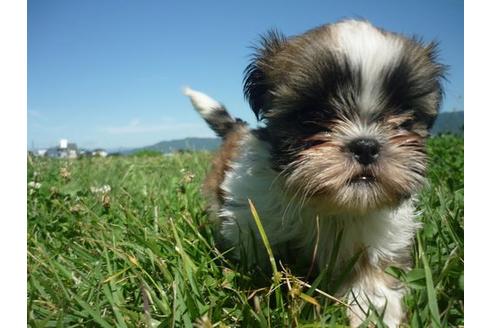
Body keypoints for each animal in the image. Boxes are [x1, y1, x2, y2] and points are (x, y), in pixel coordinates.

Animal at [184, 19, 442, 326]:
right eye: (313, 118)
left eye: (404, 119)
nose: (366, 146)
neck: (328, 206)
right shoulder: (254, 220)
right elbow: (260, 263)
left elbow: (374, 282)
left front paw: (374, 314)